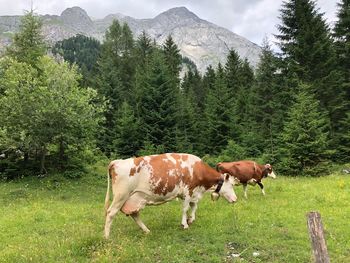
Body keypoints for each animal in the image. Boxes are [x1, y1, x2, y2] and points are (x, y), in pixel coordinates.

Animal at [102, 153, 237, 239]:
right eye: (231, 185)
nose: (236, 199)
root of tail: (117, 161)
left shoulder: (192, 193)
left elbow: (194, 206)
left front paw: (191, 219)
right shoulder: (188, 190)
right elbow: (185, 208)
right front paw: (185, 224)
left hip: (134, 198)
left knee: (134, 214)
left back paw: (146, 230)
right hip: (121, 195)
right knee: (111, 213)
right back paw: (107, 237)